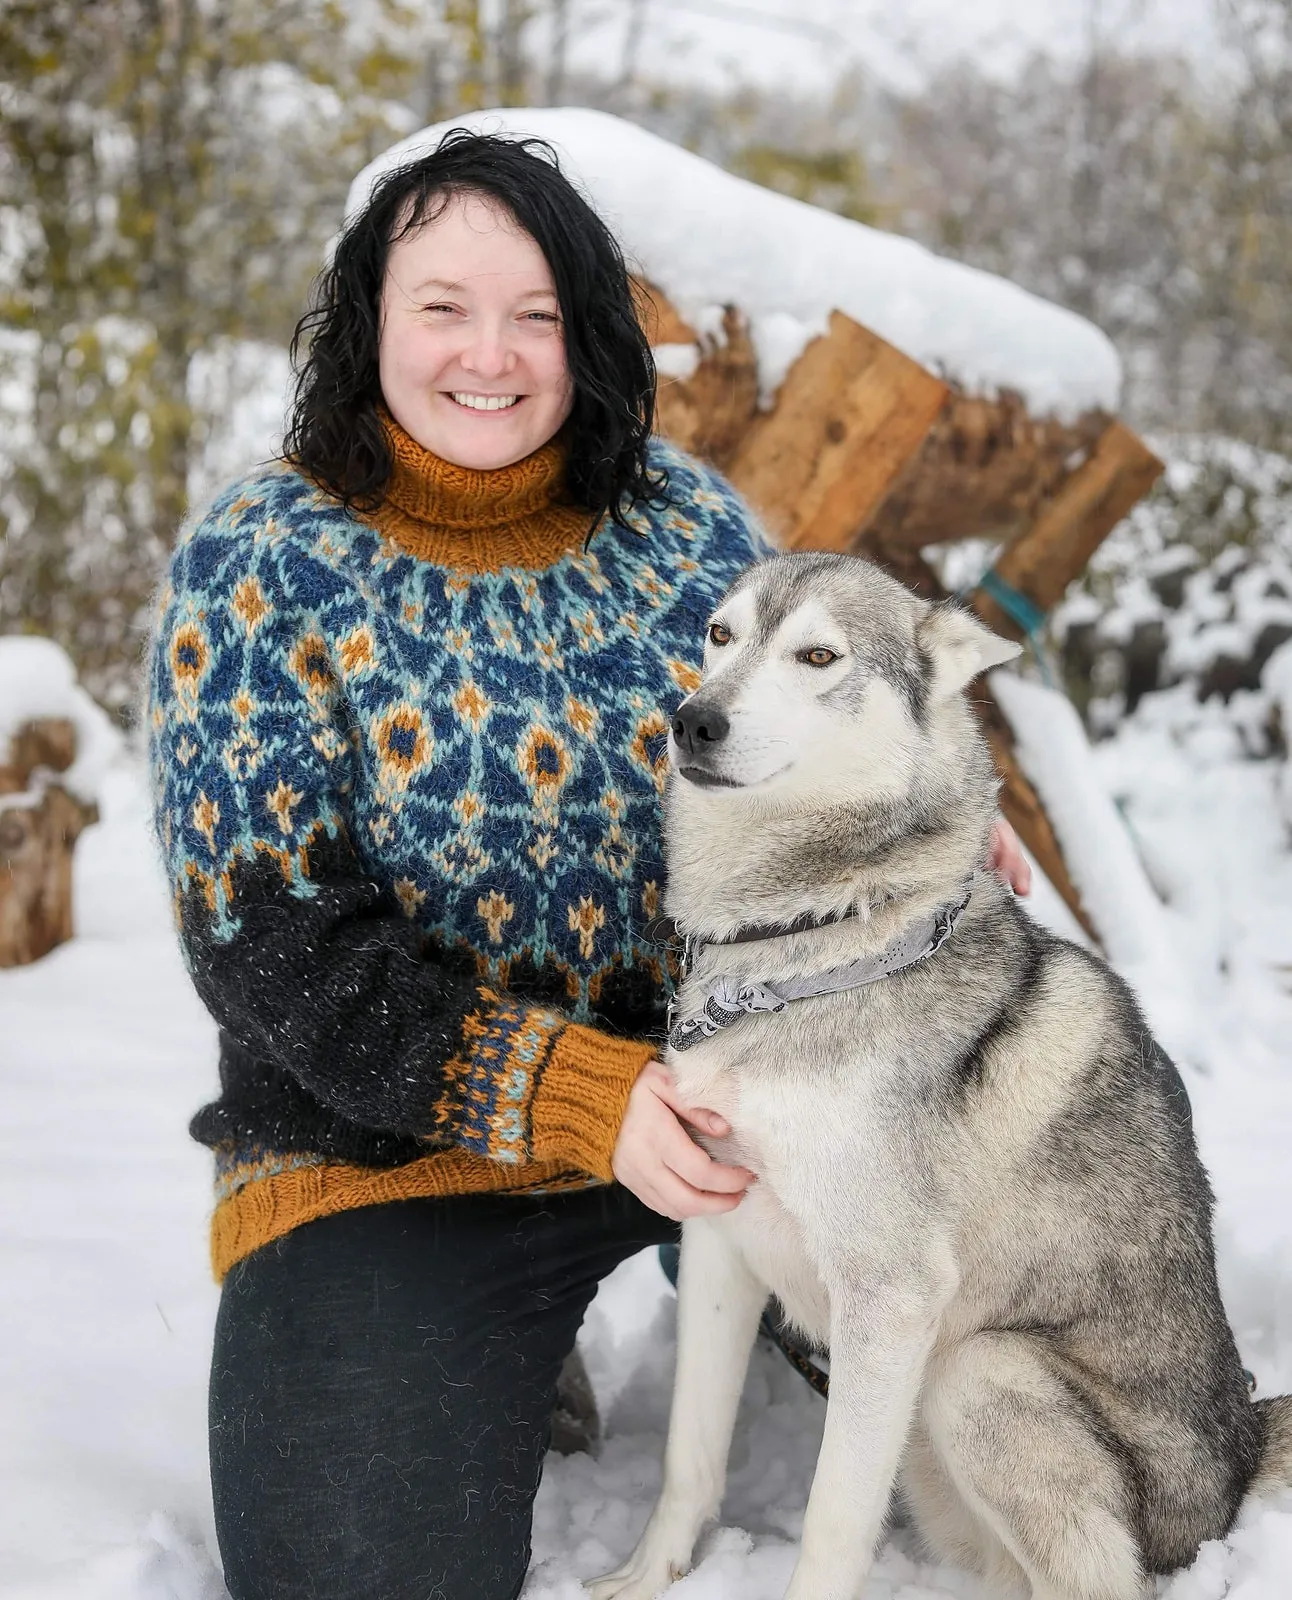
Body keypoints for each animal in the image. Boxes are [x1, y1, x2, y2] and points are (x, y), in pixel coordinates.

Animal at [591, 553, 1285, 1600]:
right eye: (720, 634)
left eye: (819, 655)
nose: (692, 721)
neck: (805, 946)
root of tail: (1239, 1460)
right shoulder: (718, 1236)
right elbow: (689, 1458)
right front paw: (644, 1578)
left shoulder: (891, 1298)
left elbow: (833, 1520)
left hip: (975, 1374)